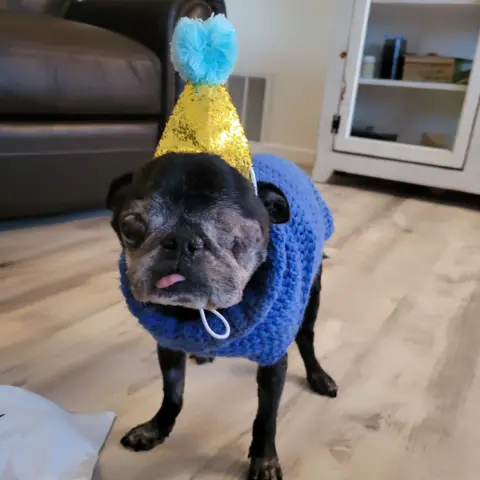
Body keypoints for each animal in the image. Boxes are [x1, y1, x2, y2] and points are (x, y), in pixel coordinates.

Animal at [108, 153, 338, 480]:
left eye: (236, 236)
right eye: (131, 227)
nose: (181, 241)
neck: (200, 312)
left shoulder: (273, 361)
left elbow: (266, 417)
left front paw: (264, 460)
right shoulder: (169, 347)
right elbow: (173, 395)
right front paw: (156, 429)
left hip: (312, 296)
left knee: (307, 338)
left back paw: (318, 375)